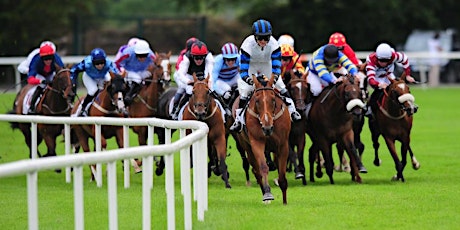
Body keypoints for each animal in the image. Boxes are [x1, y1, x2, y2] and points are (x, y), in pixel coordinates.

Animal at [235, 74, 290, 204]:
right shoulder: (256, 142)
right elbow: (263, 167)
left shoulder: (283, 145)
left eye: (273, 100)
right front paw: (268, 194)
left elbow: (282, 174)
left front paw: (285, 202)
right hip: (247, 147)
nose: (267, 128)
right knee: (256, 170)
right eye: (257, 101)